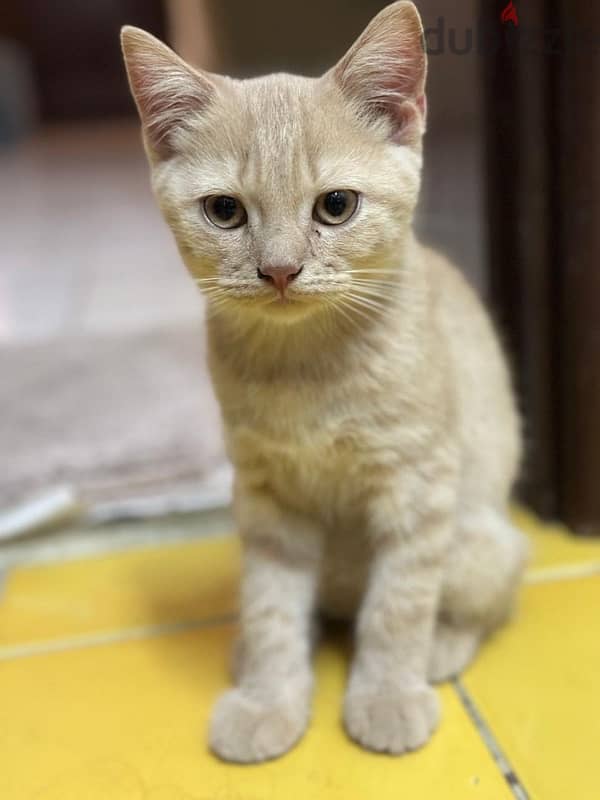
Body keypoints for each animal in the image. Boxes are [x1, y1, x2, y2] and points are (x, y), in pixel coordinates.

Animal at [124, 0, 528, 764]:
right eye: (225, 211)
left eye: (336, 206)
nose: (279, 270)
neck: (305, 364)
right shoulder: (266, 501)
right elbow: (272, 605)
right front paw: (269, 698)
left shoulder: (418, 484)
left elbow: (399, 604)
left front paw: (387, 695)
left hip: (482, 542)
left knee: (482, 599)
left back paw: (441, 648)